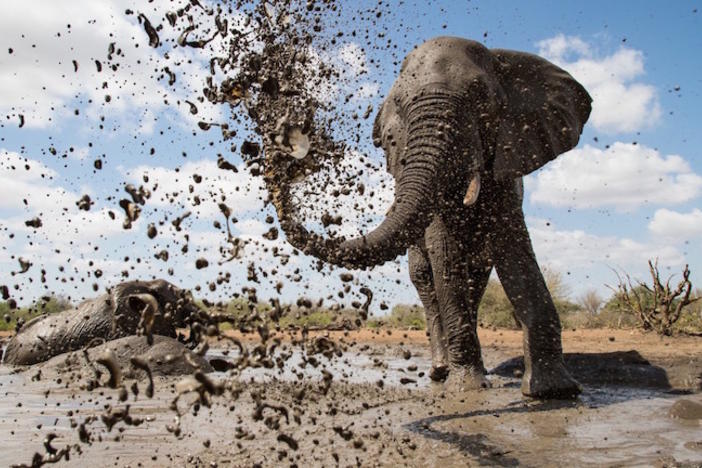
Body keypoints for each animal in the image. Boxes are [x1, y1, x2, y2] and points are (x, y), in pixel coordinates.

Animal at [276, 36, 592, 398]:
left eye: (482, 97)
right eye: (400, 104)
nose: (290, 147)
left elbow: (515, 251)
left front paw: (554, 391)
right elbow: (445, 255)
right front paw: (468, 387)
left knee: (476, 277)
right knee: (426, 279)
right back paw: (441, 371)